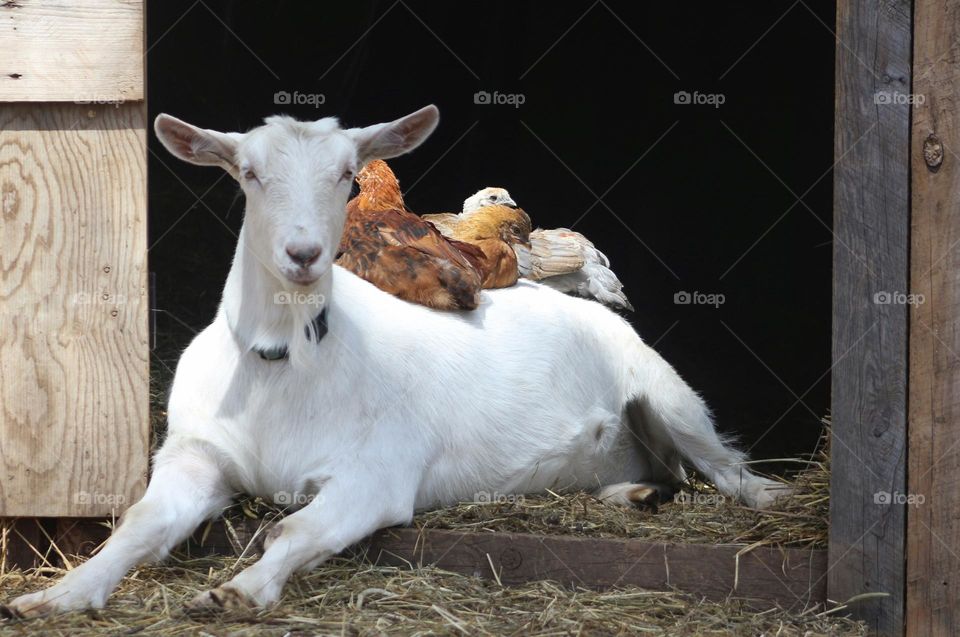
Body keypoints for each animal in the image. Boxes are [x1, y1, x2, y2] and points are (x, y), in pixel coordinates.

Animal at [1, 105, 788, 616]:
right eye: (248, 172)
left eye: (346, 172)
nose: (302, 252)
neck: (281, 365)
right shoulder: (197, 455)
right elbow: (137, 524)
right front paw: (55, 595)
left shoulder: (378, 474)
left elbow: (291, 528)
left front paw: (238, 591)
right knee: (664, 472)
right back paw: (635, 493)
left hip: (665, 392)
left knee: (722, 467)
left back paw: (773, 499)